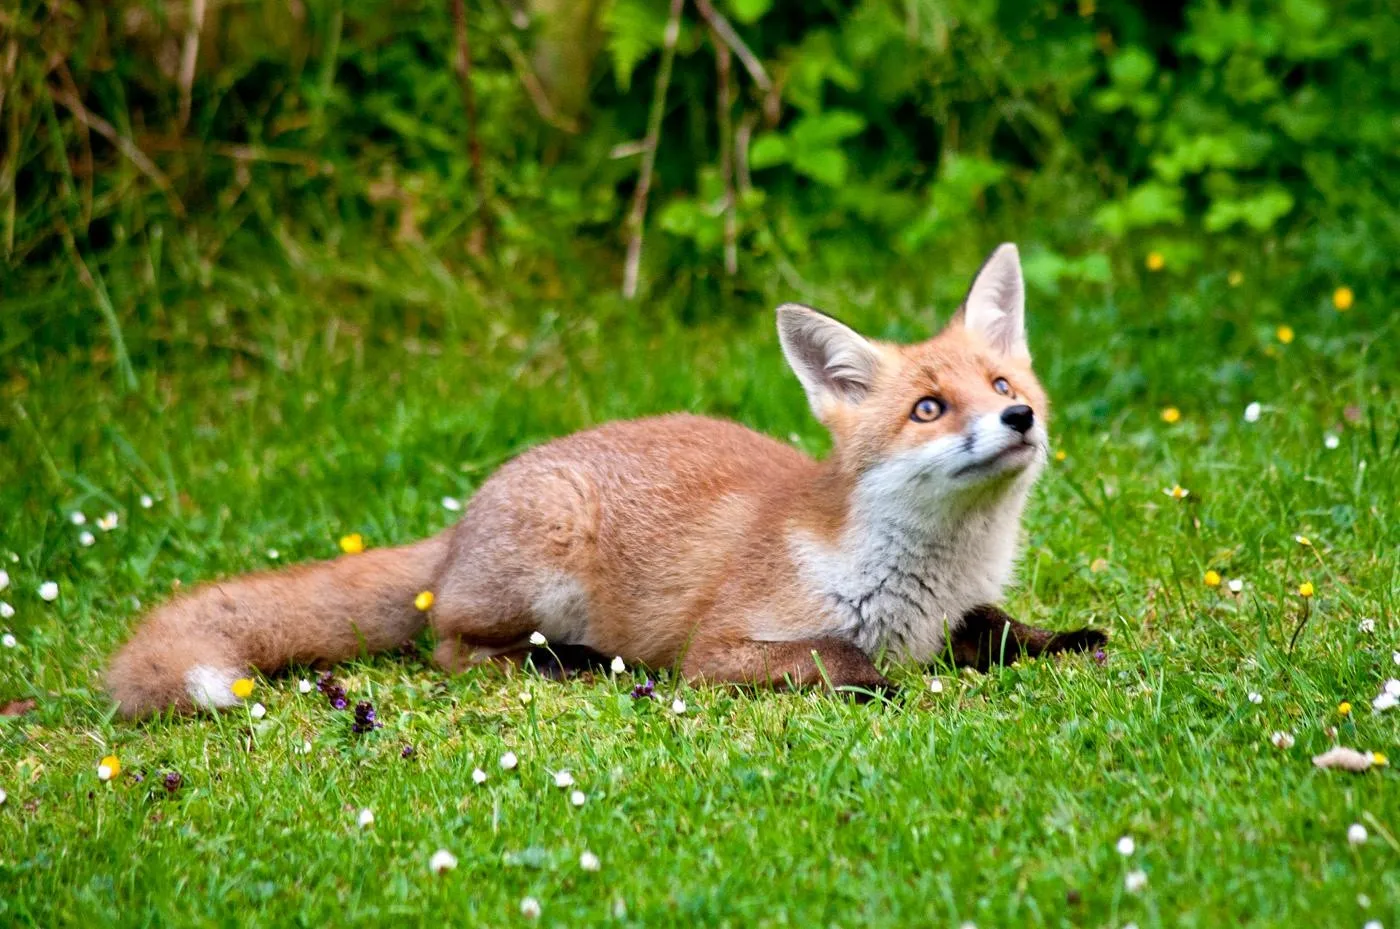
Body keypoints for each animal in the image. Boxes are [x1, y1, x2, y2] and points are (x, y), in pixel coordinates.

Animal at [107, 243, 1106, 717]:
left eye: (1002, 385)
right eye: (929, 408)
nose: (1019, 419)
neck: (916, 576)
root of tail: (464, 517)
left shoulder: (961, 611)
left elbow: (1002, 628)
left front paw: (1068, 640)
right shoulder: (722, 650)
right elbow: (840, 655)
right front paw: (886, 689)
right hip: (543, 567)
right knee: (450, 646)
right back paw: (578, 663)